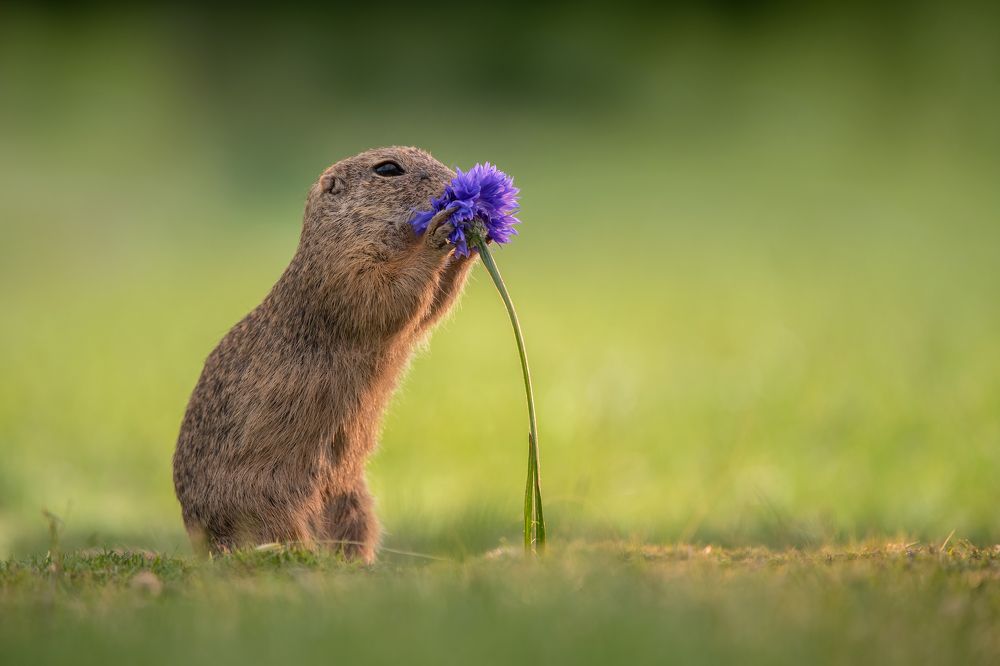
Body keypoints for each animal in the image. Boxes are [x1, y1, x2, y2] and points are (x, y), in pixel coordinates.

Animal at [172, 147, 473, 562]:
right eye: (388, 169)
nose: (452, 185)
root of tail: (202, 543)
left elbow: (430, 308)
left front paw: (470, 239)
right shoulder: (344, 271)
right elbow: (385, 293)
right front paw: (441, 231)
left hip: (354, 501)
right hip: (267, 503)